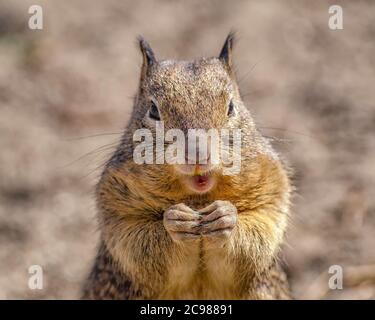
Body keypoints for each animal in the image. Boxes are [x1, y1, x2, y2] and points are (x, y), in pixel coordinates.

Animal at [82, 33, 294, 298]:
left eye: (231, 107)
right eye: (153, 110)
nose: (198, 154)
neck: (198, 198)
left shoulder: (272, 194)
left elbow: (259, 237)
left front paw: (226, 216)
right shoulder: (117, 208)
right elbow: (137, 247)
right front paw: (175, 220)